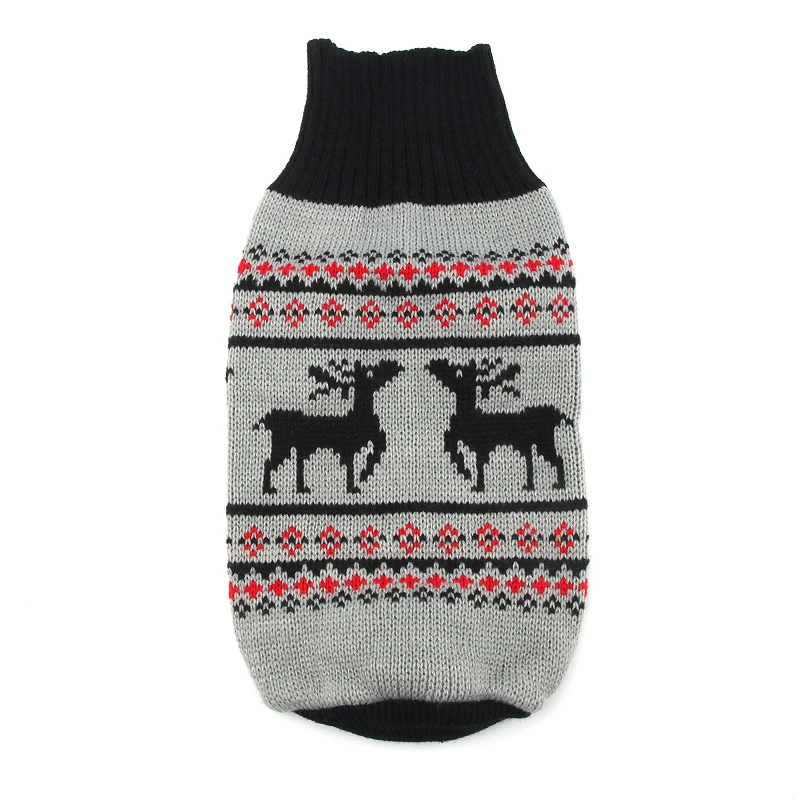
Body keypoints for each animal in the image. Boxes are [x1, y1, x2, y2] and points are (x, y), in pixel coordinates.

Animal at [253, 359, 403, 495]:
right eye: (370, 374)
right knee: (268, 463)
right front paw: (355, 485)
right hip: (281, 446)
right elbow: (352, 467)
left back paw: (301, 489)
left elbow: (376, 447)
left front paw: (361, 477)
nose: (392, 368)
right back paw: (269, 489)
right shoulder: (348, 449)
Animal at [425, 357, 572, 492]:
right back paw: (529, 486)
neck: (468, 415)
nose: (434, 365)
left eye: (458, 373)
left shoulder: (481, 447)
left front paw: (476, 484)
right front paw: (467, 473)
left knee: (558, 459)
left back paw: (558, 485)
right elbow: (451, 444)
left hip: (544, 443)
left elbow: (478, 465)